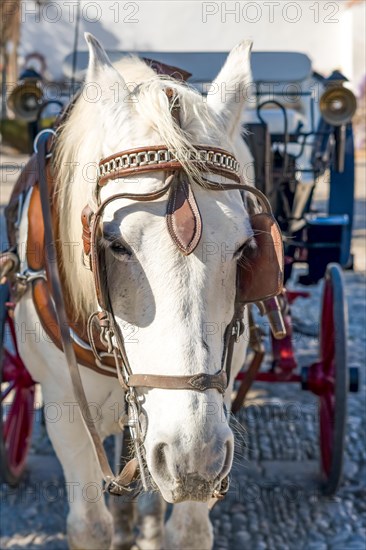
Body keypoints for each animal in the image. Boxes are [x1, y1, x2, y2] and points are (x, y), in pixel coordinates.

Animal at [14, 32, 254, 548]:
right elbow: (89, 526)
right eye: (114, 244)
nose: (195, 459)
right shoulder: (63, 409)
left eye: (246, 248)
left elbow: (189, 531)